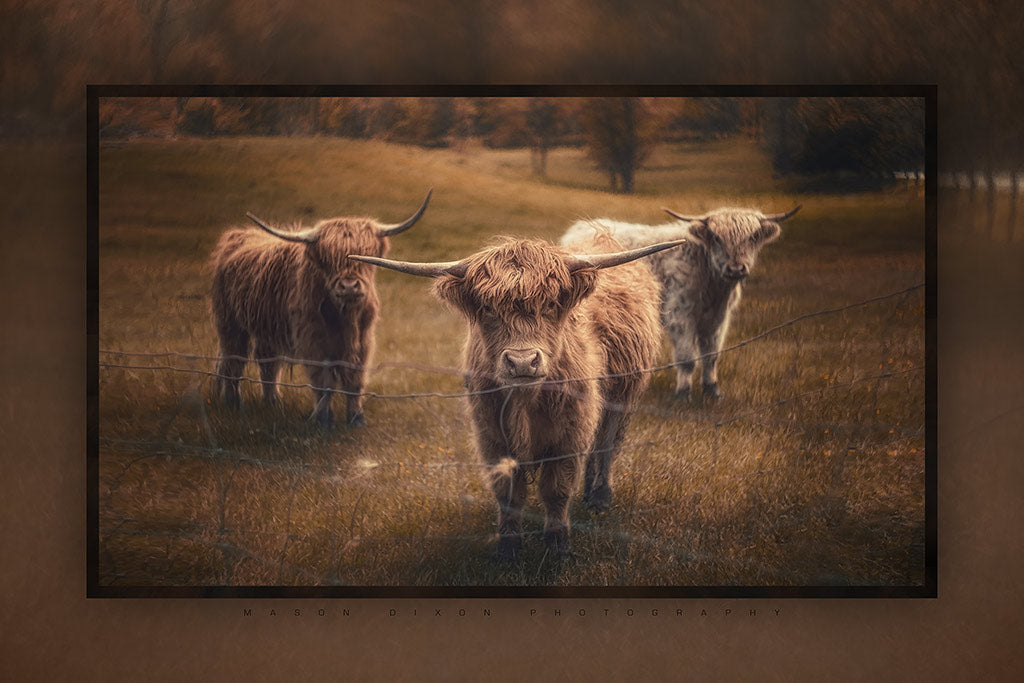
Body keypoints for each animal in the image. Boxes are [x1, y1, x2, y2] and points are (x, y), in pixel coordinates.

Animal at [210, 191, 432, 428]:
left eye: (366, 255)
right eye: (327, 259)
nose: (349, 287)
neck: (344, 318)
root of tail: (237, 235)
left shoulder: (363, 341)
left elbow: (354, 380)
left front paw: (356, 417)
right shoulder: (313, 340)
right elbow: (323, 382)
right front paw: (323, 419)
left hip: (266, 328)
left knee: (266, 362)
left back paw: (271, 402)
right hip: (230, 323)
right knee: (234, 361)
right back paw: (233, 401)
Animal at [350, 232, 684, 559]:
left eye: (550, 304)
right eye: (487, 308)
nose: (522, 362)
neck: (526, 401)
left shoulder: (570, 433)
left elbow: (557, 489)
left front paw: (558, 546)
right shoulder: (492, 436)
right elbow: (508, 491)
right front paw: (508, 548)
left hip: (623, 397)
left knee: (606, 446)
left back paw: (599, 498)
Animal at [561, 205, 800, 400]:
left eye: (753, 237)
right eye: (716, 238)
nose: (735, 269)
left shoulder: (718, 318)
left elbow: (711, 355)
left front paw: (712, 390)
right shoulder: (680, 314)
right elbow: (687, 357)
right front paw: (683, 393)